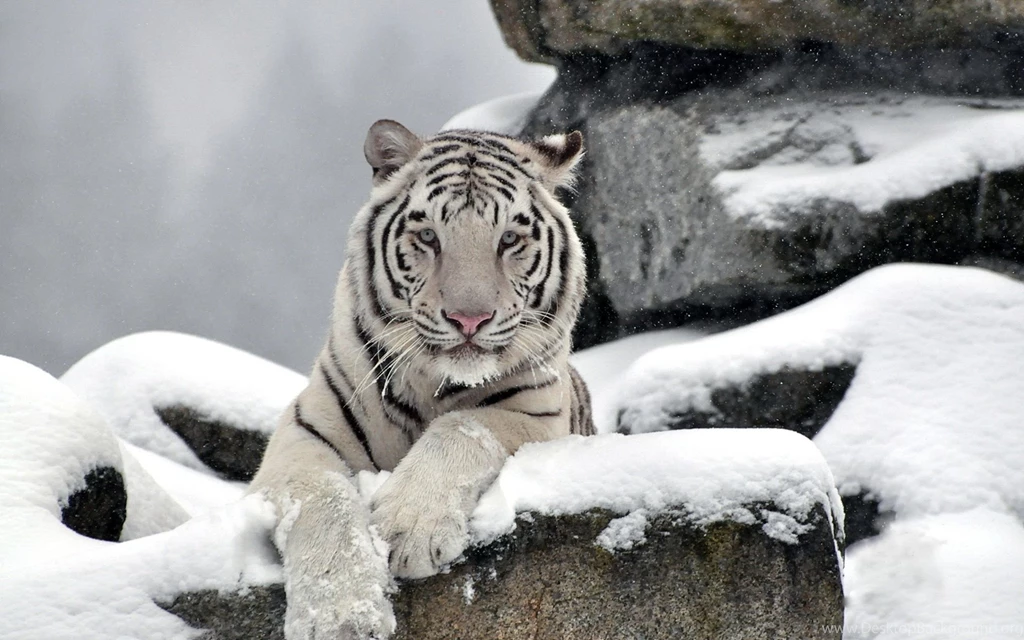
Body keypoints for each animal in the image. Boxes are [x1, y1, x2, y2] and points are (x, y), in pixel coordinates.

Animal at [249, 119, 593, 639]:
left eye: (509, 239)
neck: (433, 384)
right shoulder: (302, 433)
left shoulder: (536, 415)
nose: (469, 319)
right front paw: (342, 617)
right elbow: (322, 497)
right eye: (429, 236)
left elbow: (462, 428)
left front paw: (407, 529)